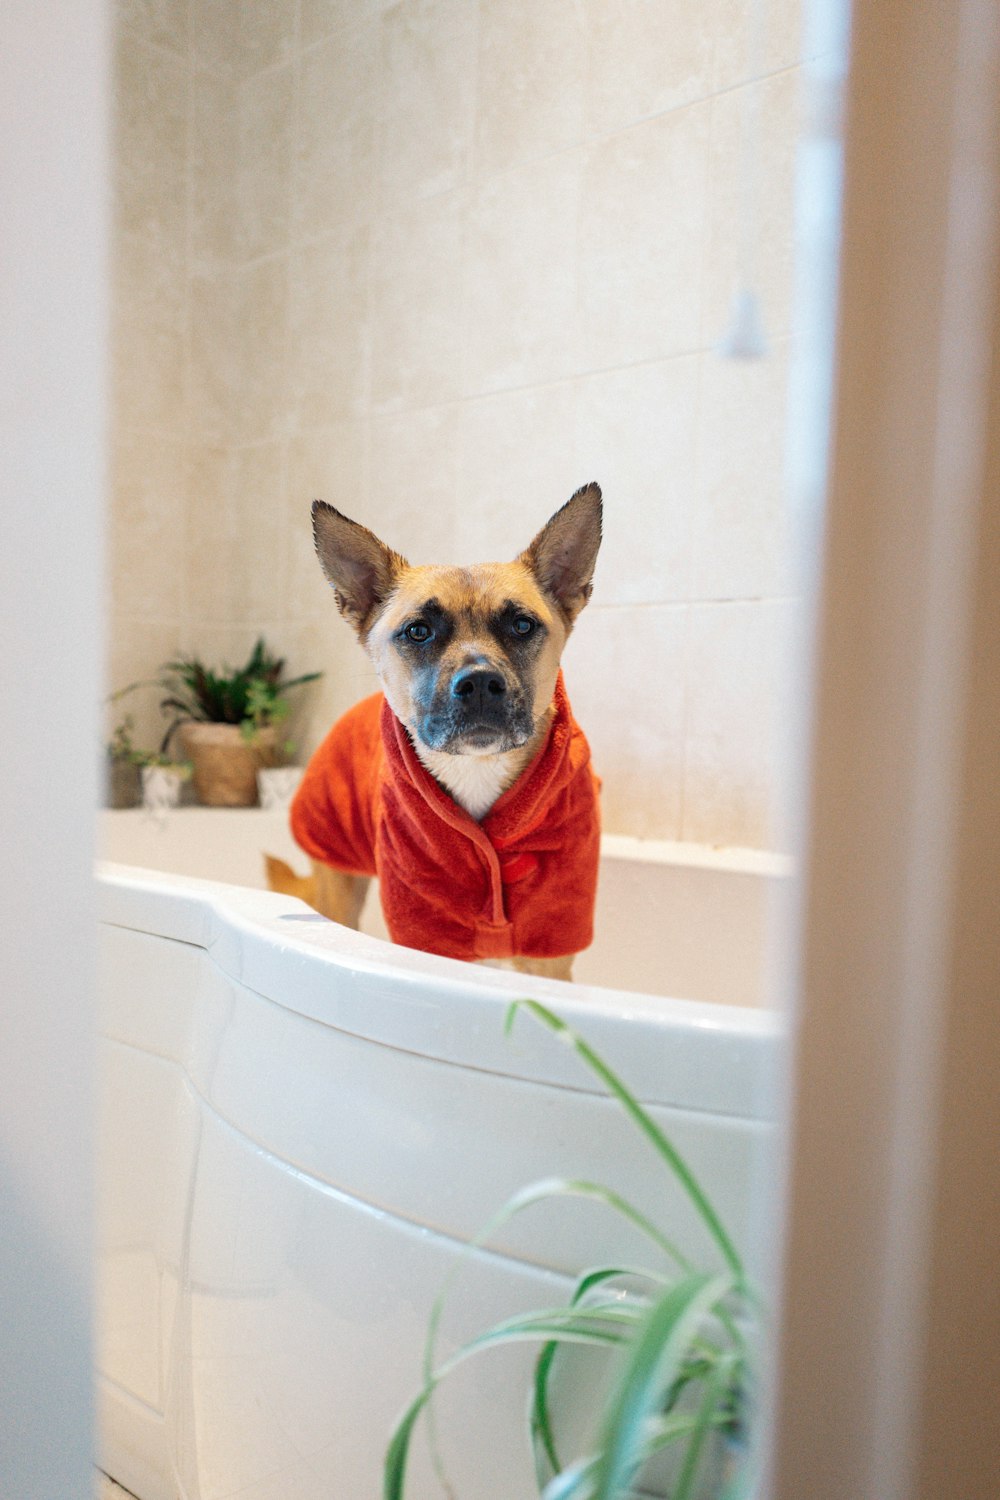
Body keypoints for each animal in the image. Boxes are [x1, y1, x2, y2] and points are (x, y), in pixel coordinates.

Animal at [268, 474, 602, 978]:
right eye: (418, 631)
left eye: (522, 626)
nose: (480, 683)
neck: (478, 770)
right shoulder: (426, 930)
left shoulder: (549, 944)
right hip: (337, 882)